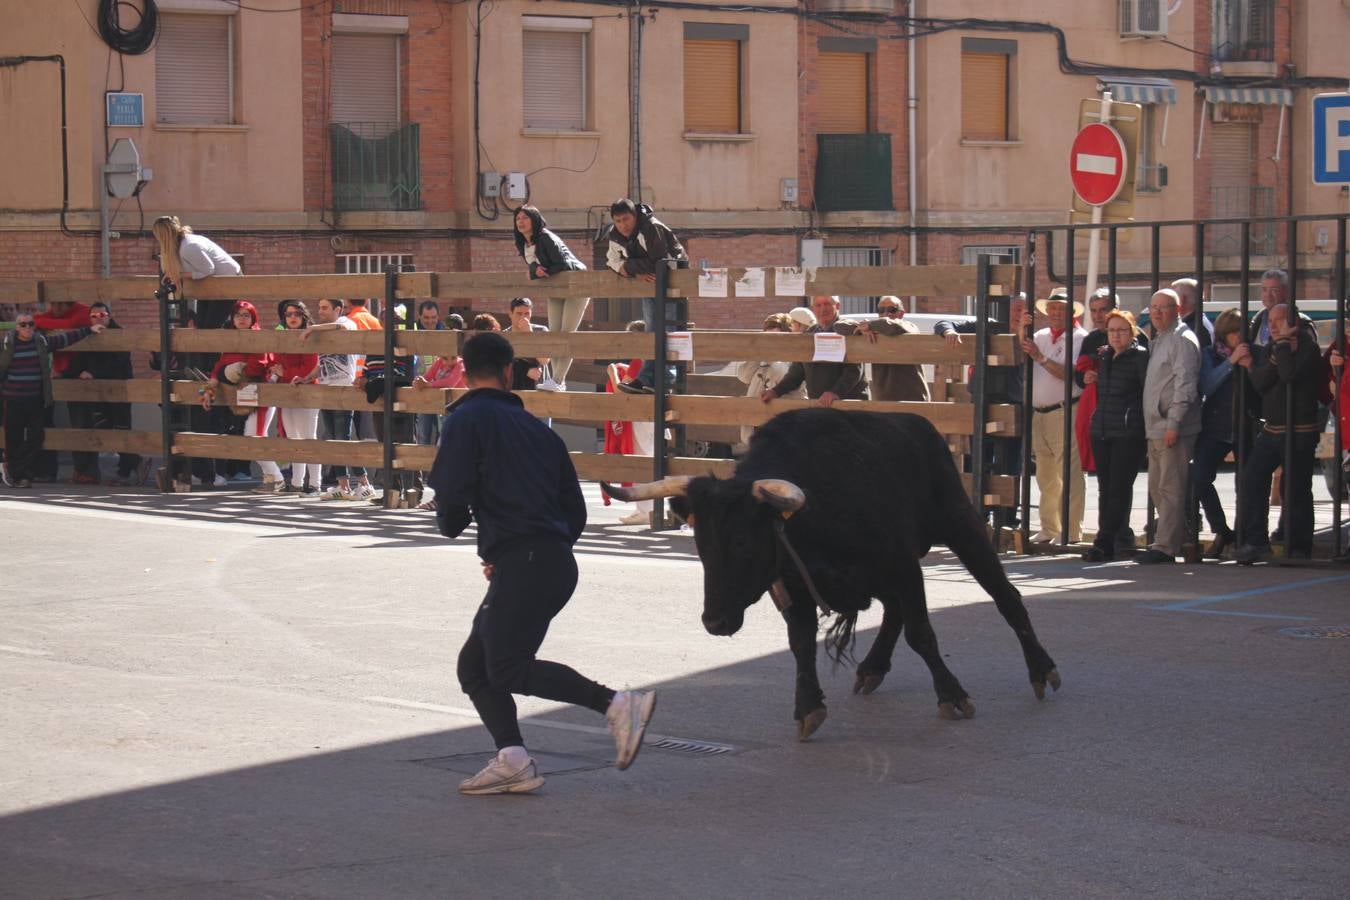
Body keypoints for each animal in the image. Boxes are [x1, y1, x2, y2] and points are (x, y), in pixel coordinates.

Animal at [607, 407, 1058, 739]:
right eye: (702, 546)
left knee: (1005, 597)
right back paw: (872, 667)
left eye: (742, 543)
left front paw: (951, 695)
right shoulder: (794, 588)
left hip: (961, 525)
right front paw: (808, 706)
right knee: (895, 613)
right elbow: (801, 644)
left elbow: (922, 634)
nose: (715, 622)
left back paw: (1042, 669)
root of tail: (917, 424)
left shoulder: (902, 565)